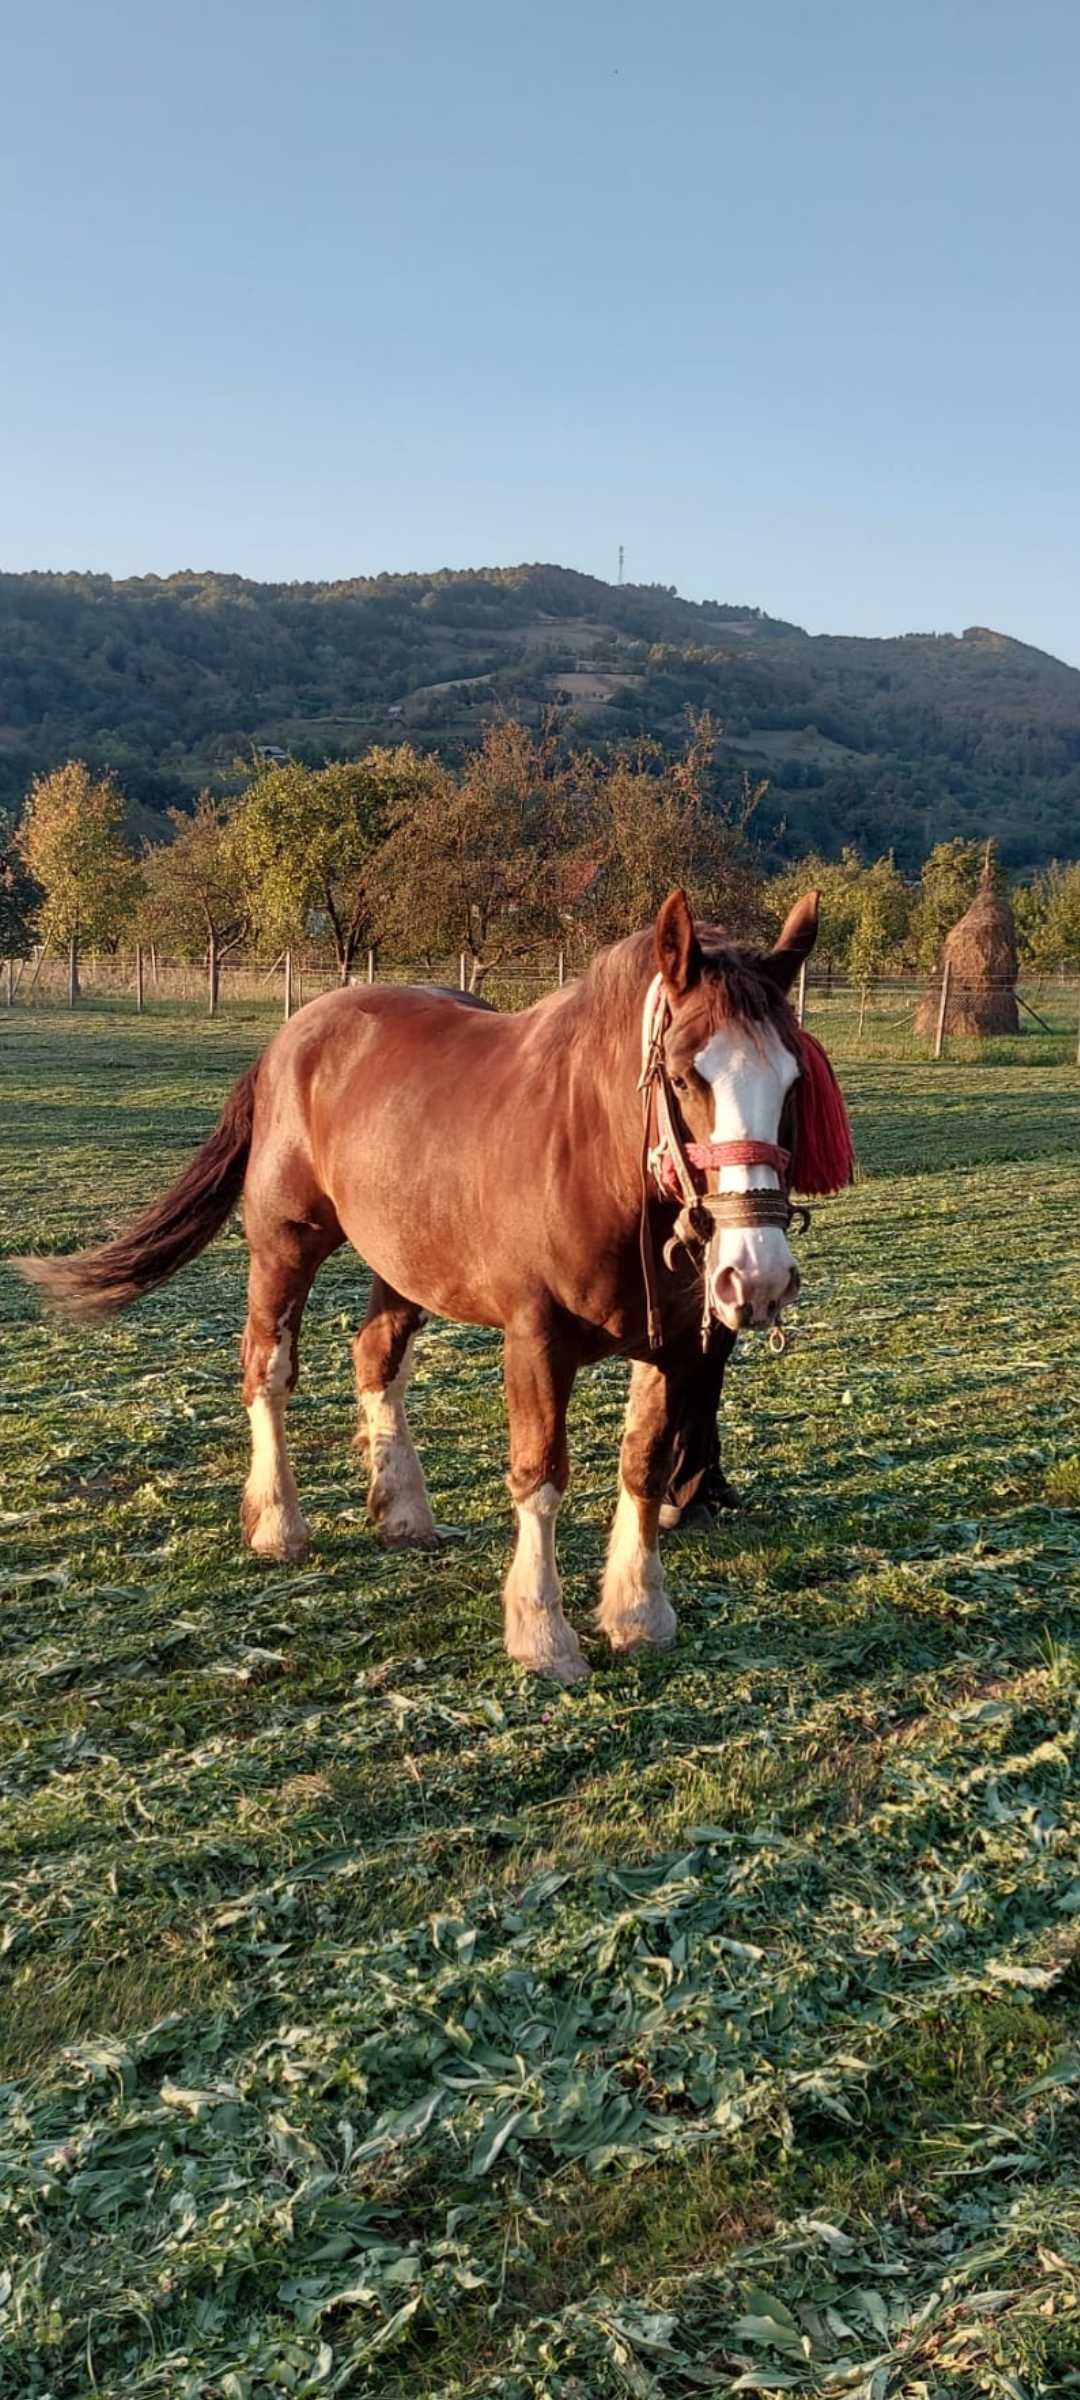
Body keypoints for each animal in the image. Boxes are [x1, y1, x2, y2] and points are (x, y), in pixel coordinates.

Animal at [16, 892, 844, 1699]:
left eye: (794, 1081)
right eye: (682, 1075)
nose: (758, 1274)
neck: (596, 1163)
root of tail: (295, 1036)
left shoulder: (673, 1345)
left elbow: (643, 1466)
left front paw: (639, 1613)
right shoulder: (536, 1341)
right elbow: (541, 1477)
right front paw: (543, 1634)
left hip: (401, 1261)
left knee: (376, 1361)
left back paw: (403, 1512)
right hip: (284, 1245)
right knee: (269, 1369)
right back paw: (279, 1523)